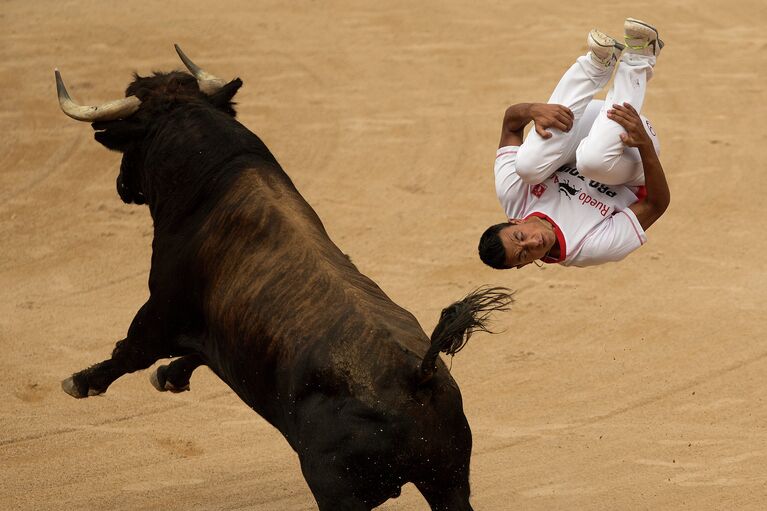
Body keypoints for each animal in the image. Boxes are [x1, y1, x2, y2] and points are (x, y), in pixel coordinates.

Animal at [58, 57, 510, 511]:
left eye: (132, 140)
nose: (122, 187)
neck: (213, 177)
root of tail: (417, 375)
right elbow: (195, 353)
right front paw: (170, 375)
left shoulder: (161, 308)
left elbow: (129, 351)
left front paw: (80, 382)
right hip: (449, 482)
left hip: (338, 491)